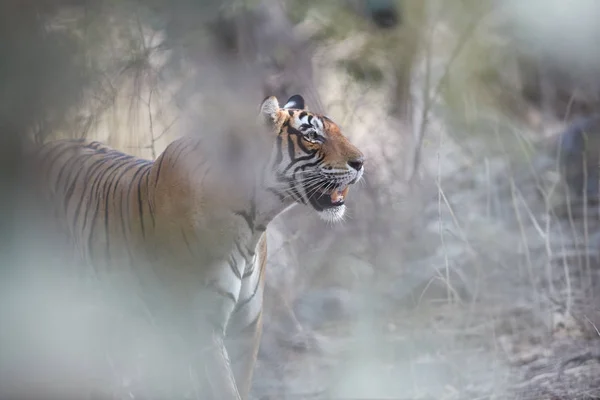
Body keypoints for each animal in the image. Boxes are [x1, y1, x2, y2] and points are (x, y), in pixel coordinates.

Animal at [31, 94, 366, 400]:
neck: (254, 222)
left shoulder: (247, 326)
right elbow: (222, 388)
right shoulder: (201, 324)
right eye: (312, 136)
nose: (361, 162)